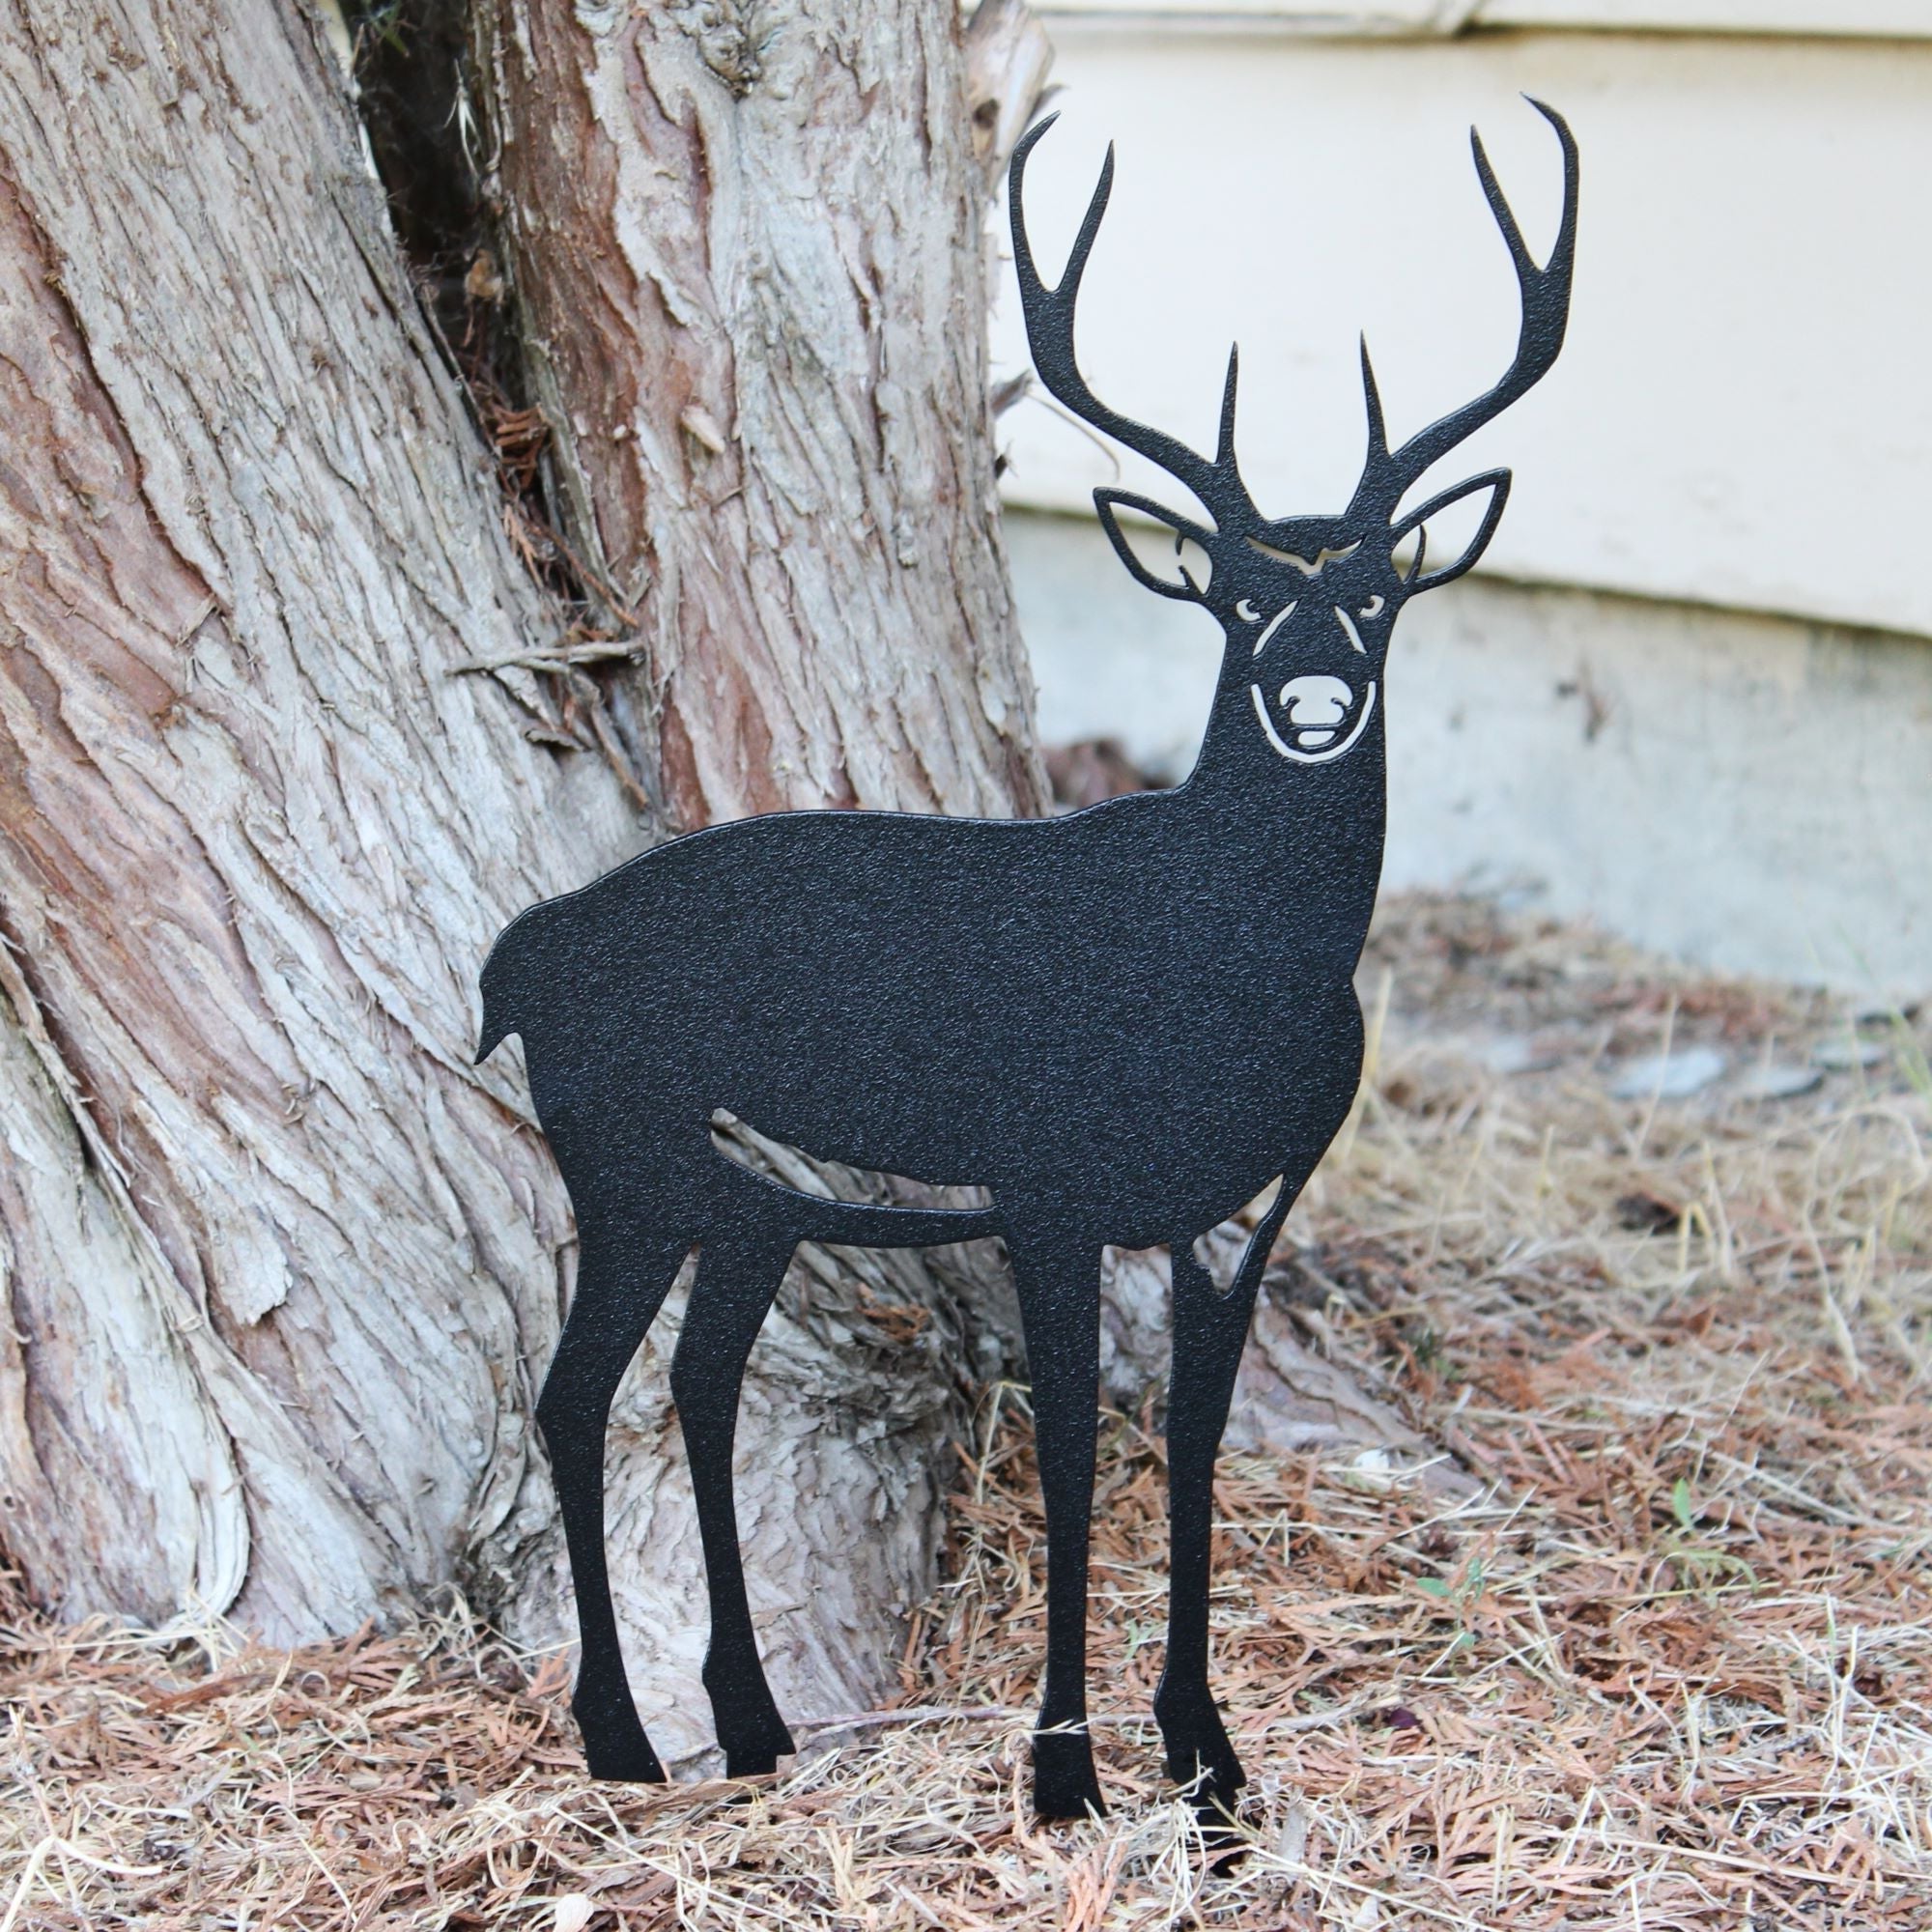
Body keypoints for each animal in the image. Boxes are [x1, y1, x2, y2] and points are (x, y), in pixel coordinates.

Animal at [477, 101, 1577, 1821]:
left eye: (1380, 596)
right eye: (1241, 597)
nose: (1314, 704)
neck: (1229, 975)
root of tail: (523, 951)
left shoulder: (1240, 1211)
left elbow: (1192, 1447)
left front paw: (1208, 1761)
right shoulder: (1055, 1188)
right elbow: (1070, 1454)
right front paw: (1066, 1769)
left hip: (745, 1197)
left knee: (699, 1383)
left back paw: (754, 1724)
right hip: (629, 1151)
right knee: (574, 1392)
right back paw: (625, 1740)